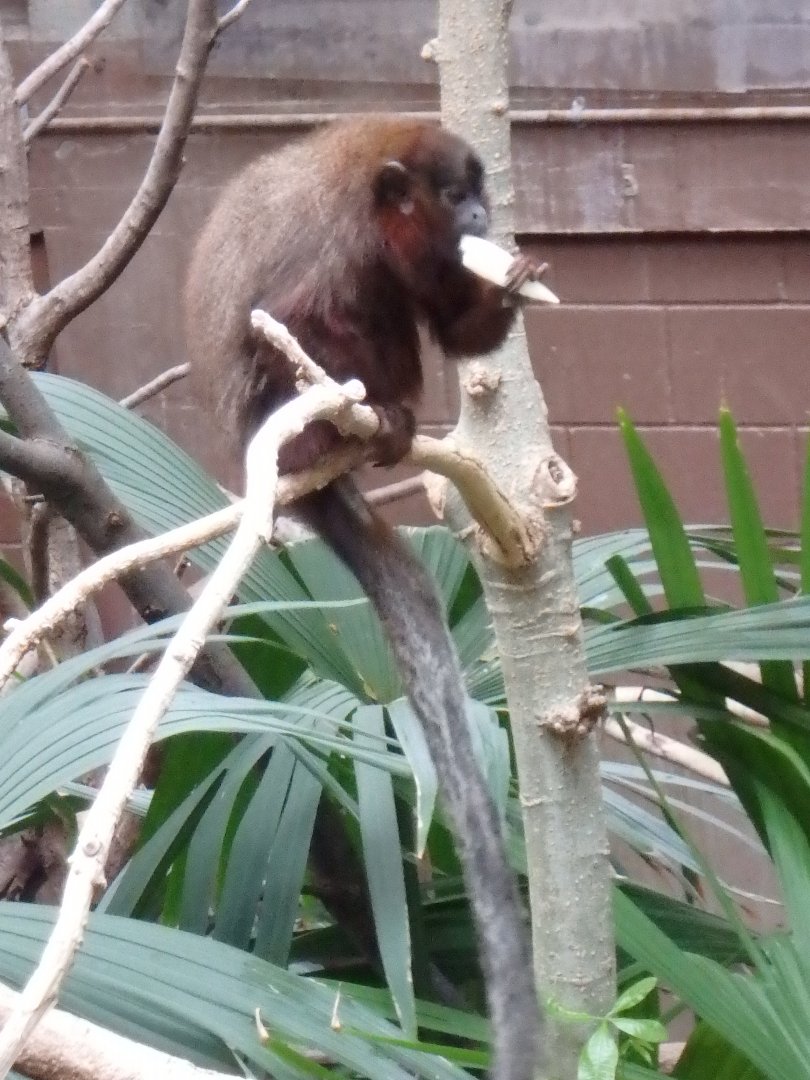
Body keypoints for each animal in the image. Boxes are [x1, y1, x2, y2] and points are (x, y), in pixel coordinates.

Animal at [184, 116, 541, 1080]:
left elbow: (449, 326)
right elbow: (296, 323)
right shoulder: (335, 252)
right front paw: (365, 400)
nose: (484, 214)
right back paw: (364, 423)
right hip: (280, 421)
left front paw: (509, 289)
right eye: (455, 195)